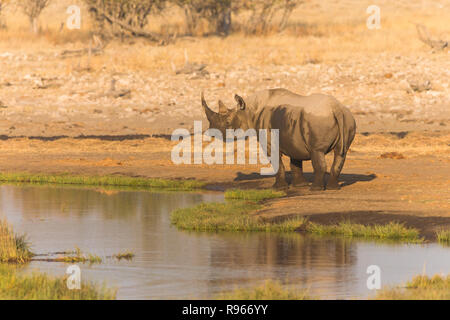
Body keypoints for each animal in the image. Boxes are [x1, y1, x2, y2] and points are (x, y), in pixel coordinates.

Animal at [202, 88, 356, 190]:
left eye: (227, 122)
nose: (212, 133)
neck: (249, 110)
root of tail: (336, 108)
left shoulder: (269, 141)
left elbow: (277, 162)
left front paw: (278, 188)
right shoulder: (293, 137)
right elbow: (295, 161)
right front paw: (299, 185)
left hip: (318, 120)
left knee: (317, 151)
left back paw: (315, 189)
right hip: (347, 118)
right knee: (340, 153)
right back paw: (332, 188)